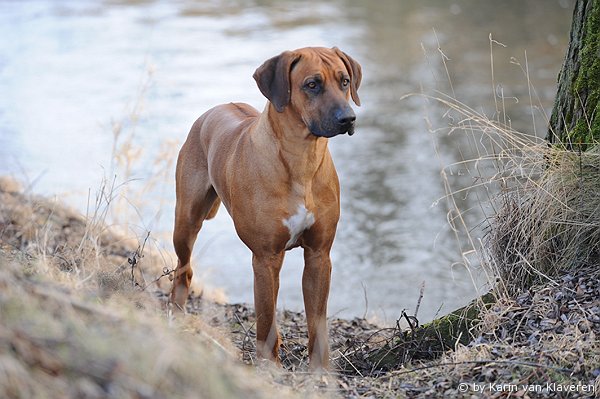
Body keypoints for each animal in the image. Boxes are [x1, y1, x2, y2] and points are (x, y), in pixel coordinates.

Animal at [171, 46, 364, 368]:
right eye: (312, 84)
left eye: (345, 81)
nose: (348, 118)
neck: (302, 159)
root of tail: (215, 108)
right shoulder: (264, 257)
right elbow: (264, 320)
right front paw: (269, 368)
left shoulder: (319, 255)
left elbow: (317, 322)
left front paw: (320, 370)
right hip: (186, 220)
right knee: (183, 269)